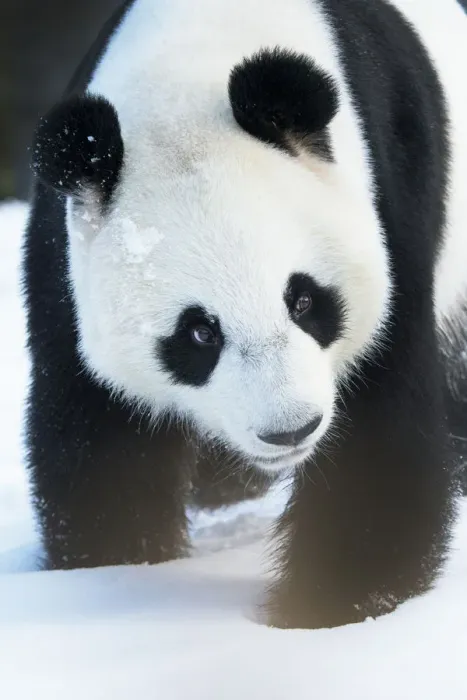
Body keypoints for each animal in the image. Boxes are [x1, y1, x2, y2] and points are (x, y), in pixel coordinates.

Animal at [23, 0, 467, 630]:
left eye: (304, 301)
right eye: (199, 333)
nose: (291, 430)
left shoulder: (387, 198)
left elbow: (378, 432)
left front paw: (326, 609)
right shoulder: (65, 256)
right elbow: (99, 434)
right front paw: (120, 573)